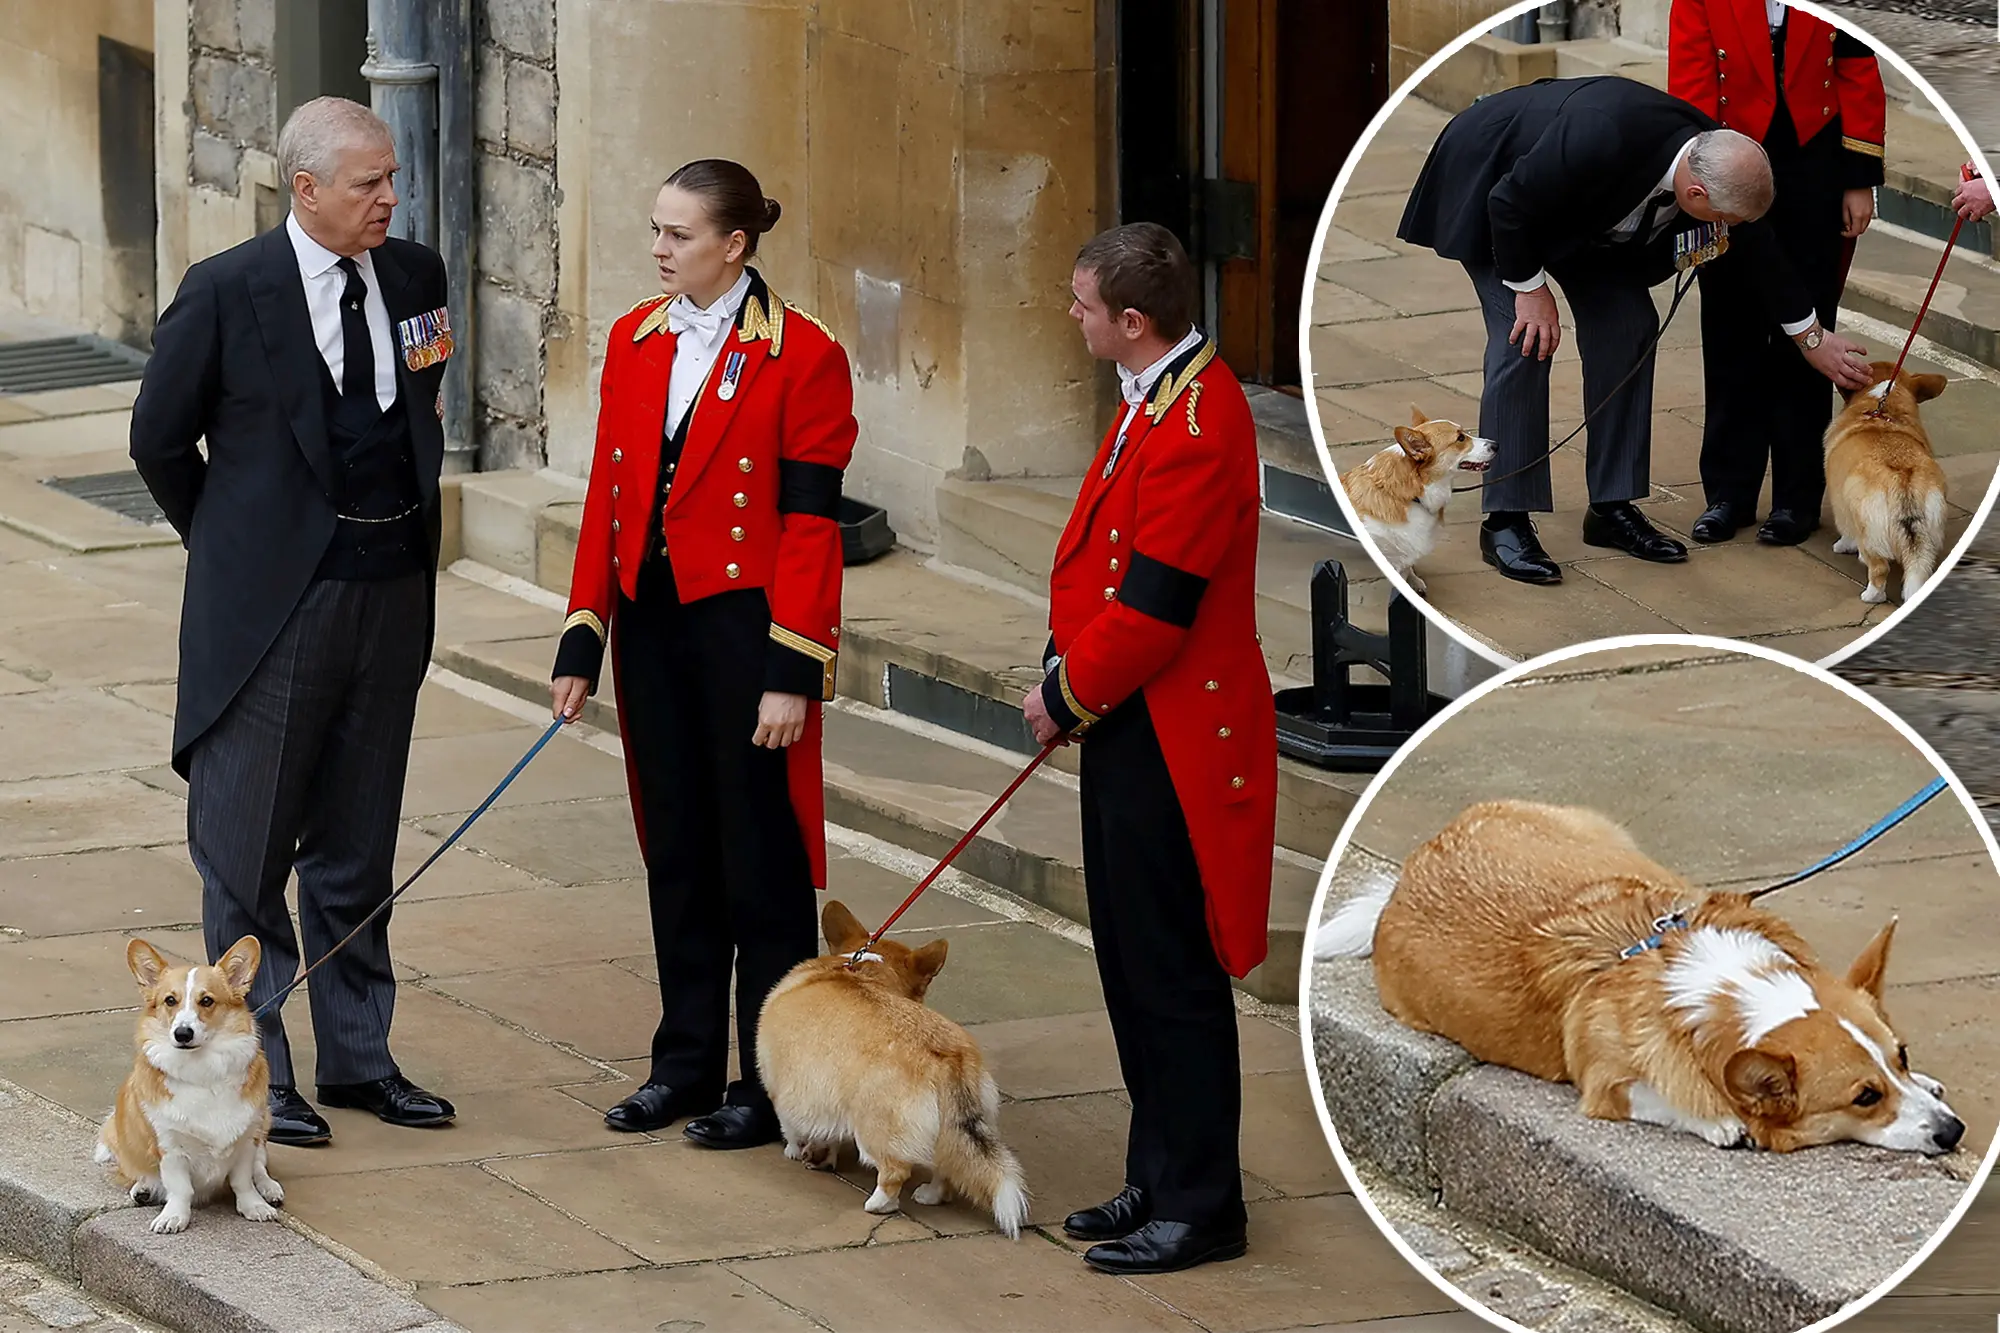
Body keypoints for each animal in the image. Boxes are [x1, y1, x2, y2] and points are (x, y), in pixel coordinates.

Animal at [95, 928, 286, 1232]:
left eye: (206, 1001)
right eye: (170, 1001)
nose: (182, 1033)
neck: (202, 1072)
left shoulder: (246, 1140)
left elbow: (243, 1180)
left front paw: (254, 1206)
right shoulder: (170, 1147)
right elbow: (180, 1188)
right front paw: (174, 1217)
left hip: (263, 1123)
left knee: (260, 1165)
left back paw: (269, 1188)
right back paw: (143, 1188)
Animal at [752, 896, 1024, 1232]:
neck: (861, 969)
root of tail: (948, 1058)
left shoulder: (785, 1087)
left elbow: (791, 1125)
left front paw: (793, 1150)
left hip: (875, 1129)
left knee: (894, 1171)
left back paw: (878, 1204)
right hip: (954, 1128)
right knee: (946, 1165)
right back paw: (930, 1195)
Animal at [1312, 800, 1968, 1152]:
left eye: (1902, 1056)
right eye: (1865, 1097)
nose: (1955, 1133)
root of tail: (1404, 878)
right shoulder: (1610, 1086)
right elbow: (1669, 1098)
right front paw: (1722, 1120)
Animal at [1824, 356, 1944, 600]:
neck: (1883, 408)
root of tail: (1904, 481)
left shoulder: (1842, 505)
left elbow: (1846, 533)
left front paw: (1841, 546)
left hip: (1868, 531)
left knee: (1879, 568)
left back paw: (1871, 596)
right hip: (1927, 538)